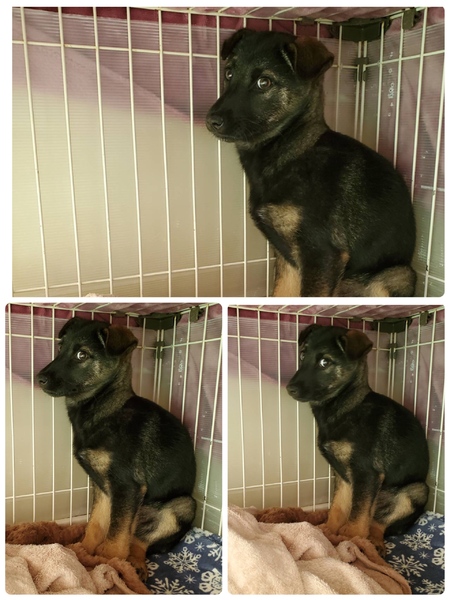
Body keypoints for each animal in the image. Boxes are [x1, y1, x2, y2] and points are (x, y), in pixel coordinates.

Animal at [37, 317, 197, 580]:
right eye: (60, 348)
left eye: (82, 355)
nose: (39, 378)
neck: (105, 410)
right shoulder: (103, 488)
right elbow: (96, 524)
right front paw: (82, 553)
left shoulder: (126, 485)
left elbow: (116, 534)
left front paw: (109, 562)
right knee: (134, 538)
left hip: (184, 505)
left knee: (139, 543)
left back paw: (136, 565)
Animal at [206, 29, 417, 297]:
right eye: (229, 73)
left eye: (264, 82)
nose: (211, 121)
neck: (292, 150)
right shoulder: (288, 260)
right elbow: (280, 294)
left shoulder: (321, 254)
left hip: (397, 274)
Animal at [286, 324, 429, 555]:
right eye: (302, 355)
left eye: (325, 362)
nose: (290, 388)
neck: (346, 407)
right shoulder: (344, 476)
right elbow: (338, 506)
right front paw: (328, 531)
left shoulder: (366, 472)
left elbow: (358, 512)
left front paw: (351, 538)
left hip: (417, 491)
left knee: (378, 524)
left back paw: (375, 543)